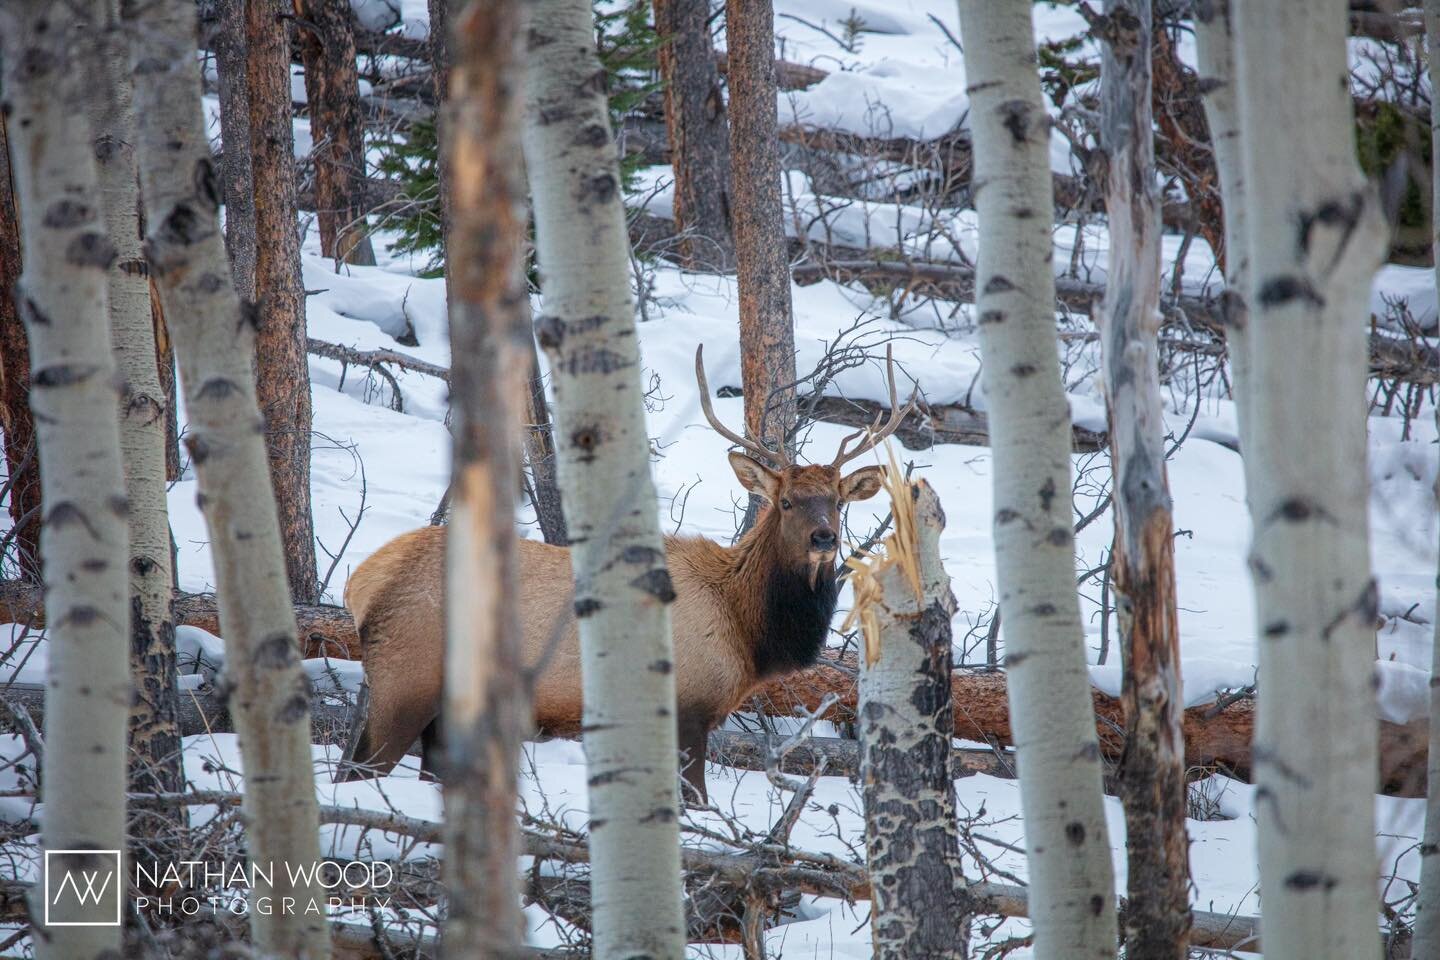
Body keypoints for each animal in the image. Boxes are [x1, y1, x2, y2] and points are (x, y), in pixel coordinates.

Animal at [339, 345, 910, 805]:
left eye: (836, 502)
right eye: (787, 501)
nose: (824, 539)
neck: (749, 635)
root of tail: (360, 584)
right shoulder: (689, 708)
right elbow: (697, 802)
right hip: (404, 683)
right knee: (356, 770)